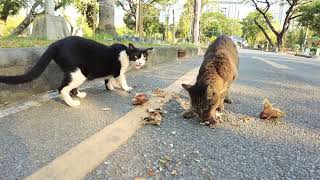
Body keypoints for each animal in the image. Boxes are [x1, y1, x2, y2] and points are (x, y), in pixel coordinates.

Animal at [0, 36, 152, 107]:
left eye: (144, 57)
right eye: (136, 57)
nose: (140, 63)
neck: (126, 54)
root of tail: (55, 43)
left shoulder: (110, 71)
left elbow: (108, 79)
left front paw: (110, 87)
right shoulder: (118, 71)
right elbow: (122, 80)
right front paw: (126, 88)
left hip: (77, 72)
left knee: (71, 88)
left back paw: (79, 95)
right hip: (79, 73)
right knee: (62, 88)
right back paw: (72, 103)